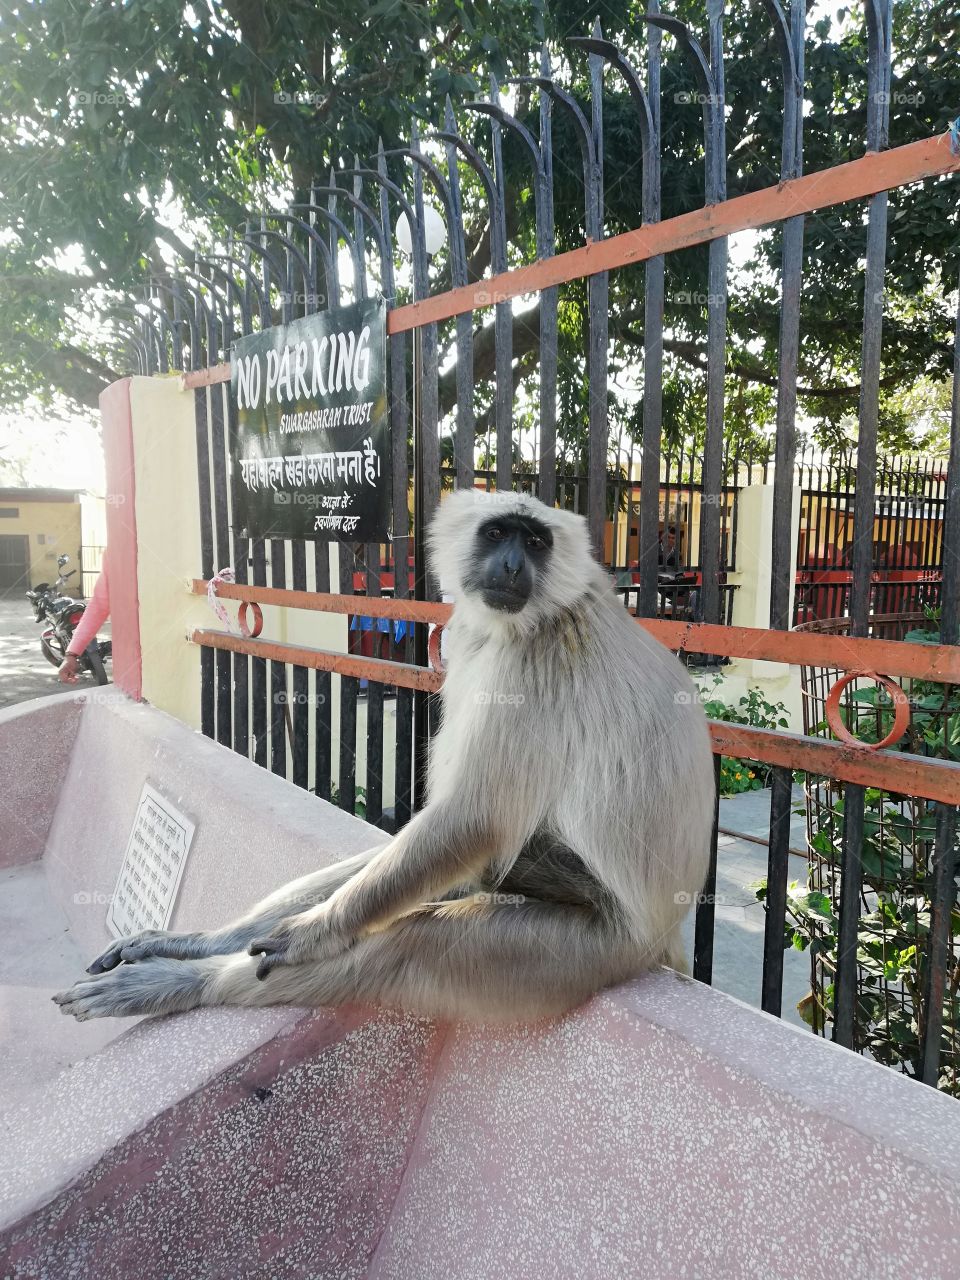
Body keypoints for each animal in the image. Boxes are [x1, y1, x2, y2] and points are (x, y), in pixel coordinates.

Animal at [54, 490, 715, 1025]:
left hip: (587, 946)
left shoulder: (535, 661)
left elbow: (472, 822)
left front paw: (311, 936)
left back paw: (188, 983)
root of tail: (660, 939)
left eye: (535, 541)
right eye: (498, 534)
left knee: (415, 938)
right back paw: (201, 946)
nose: (511, 565)